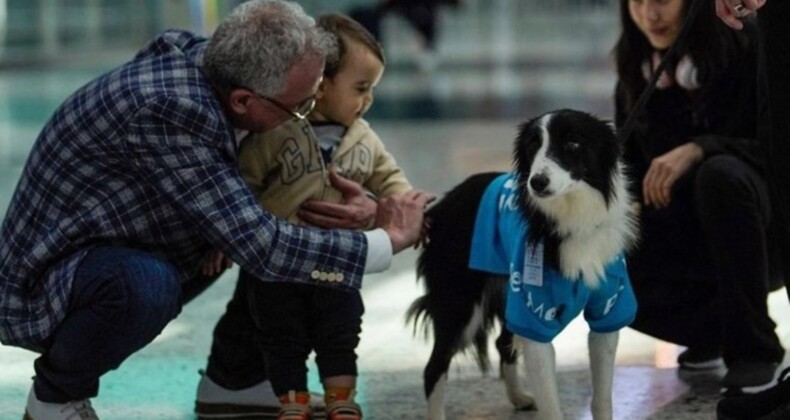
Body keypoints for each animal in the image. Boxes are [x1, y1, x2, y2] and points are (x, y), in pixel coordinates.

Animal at [412, 109, 640, 420]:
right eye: (533, 146)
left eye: (573, 144)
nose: (537, 182)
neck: (570, 218)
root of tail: (440, 206)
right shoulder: (535, 316)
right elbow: (551, 405)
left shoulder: (608, 310)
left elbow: (603, 397)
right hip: (460, 305)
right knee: (433, 368)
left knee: (501, 343)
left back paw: (518, 397)